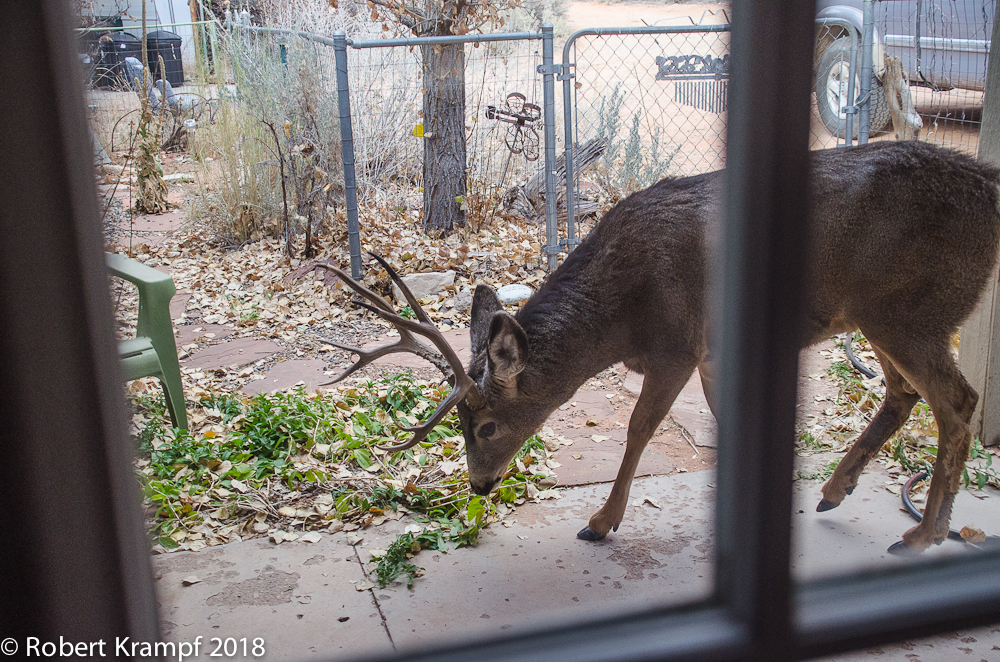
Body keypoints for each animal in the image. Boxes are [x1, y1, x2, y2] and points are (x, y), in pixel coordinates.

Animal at [318, 140, 1000, 555]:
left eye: (484, 425)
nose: (481, 487)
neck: (623, 316)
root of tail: (990, 189)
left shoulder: (677, 344)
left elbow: (639, 429)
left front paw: (600, 523)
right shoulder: (711, 351)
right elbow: (726, 420)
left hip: (912, 310)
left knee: (957, 402)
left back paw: (924, 535)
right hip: (877, 314)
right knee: (904, 392)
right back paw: (837, 492)